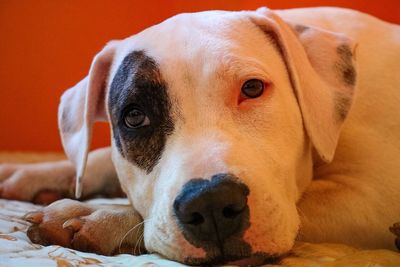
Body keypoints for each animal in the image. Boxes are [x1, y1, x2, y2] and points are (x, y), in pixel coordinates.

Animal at [0, 5, 400, 266]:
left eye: (252, 88)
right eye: (134, 116)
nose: (210, 204)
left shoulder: (371, 200)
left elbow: (302, 207)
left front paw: (99, 214)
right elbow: (99, 160)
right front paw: (33, 175)